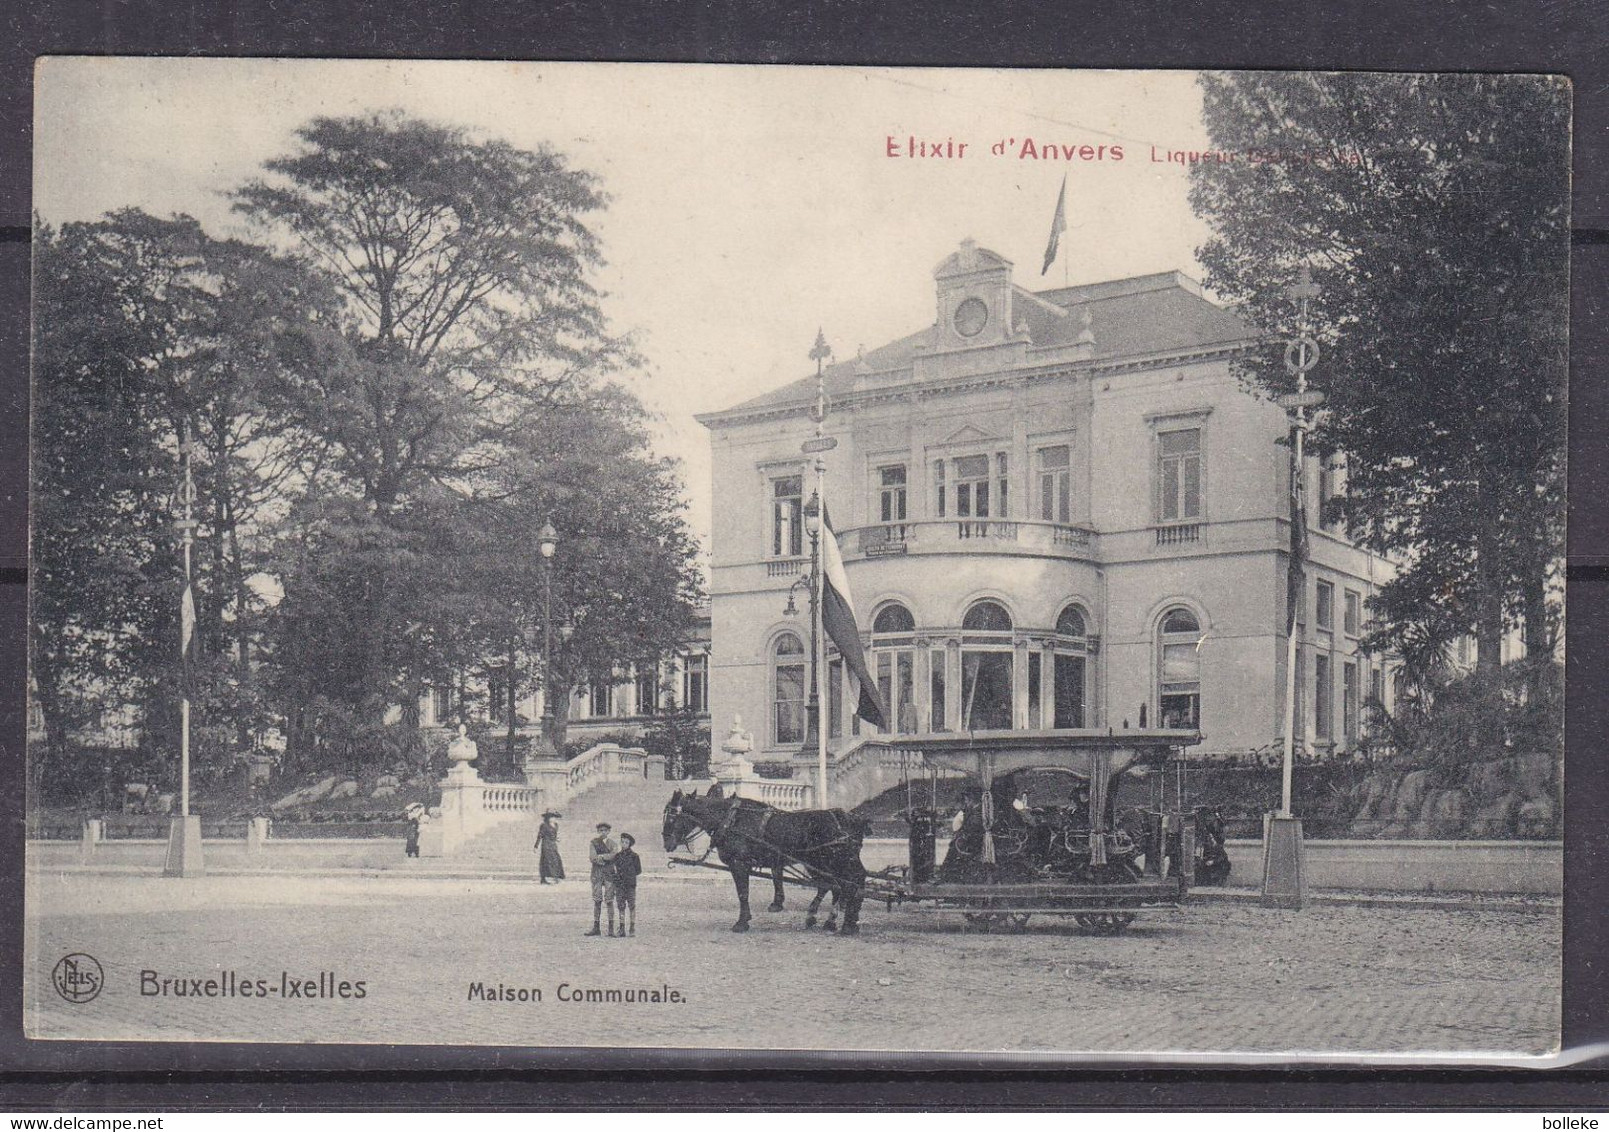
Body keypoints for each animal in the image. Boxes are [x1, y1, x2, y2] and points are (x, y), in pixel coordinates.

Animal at [662, 781, 875, 932]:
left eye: (671, 817)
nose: (666, 844)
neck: (730, 820)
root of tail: (850, 818)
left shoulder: (739, 864)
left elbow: (743, 892)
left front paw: (742, 922)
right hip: (820, 863)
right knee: (834, 886)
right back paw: (828, 920)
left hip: (838, 861)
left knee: (853, 882)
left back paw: (848, 924)